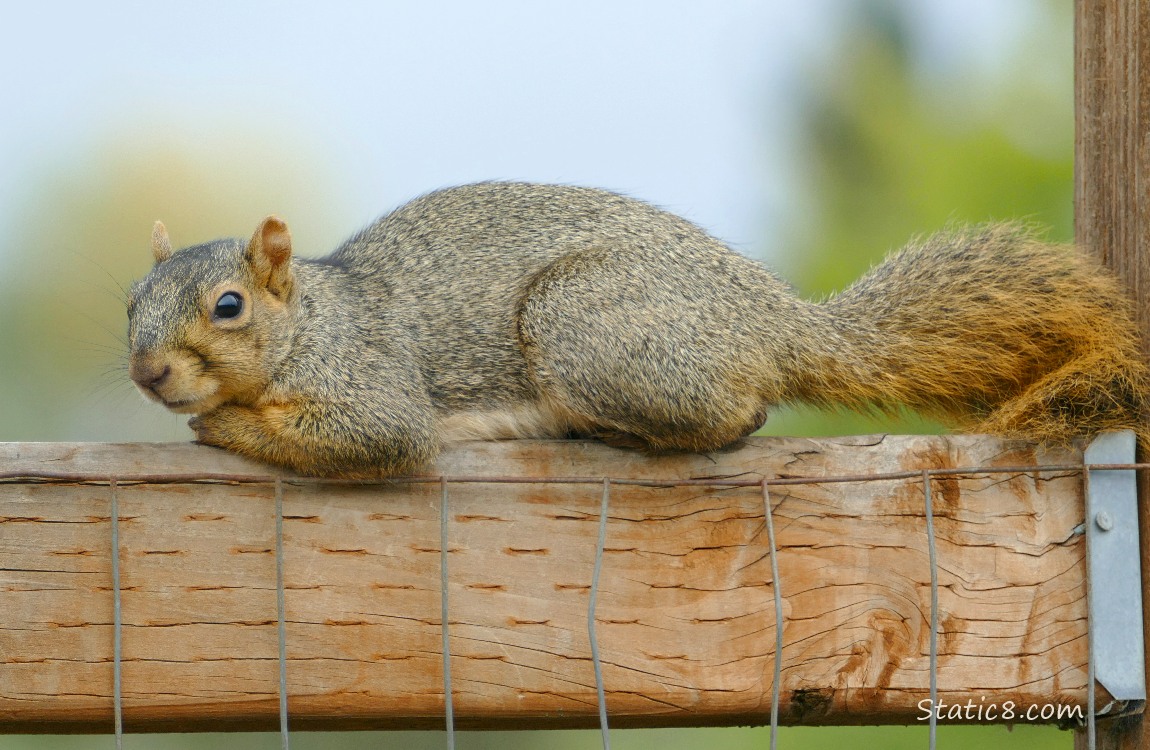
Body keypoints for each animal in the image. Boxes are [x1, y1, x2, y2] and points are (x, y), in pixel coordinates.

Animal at [127, 181, 1148, 478]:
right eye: (129, 303)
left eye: (229, 307)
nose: (148, 374)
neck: (312, 321)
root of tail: (776, 321)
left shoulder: (369, 378)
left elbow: (377, 435)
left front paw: (222, 424)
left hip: (589, 326)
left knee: (737, 415)